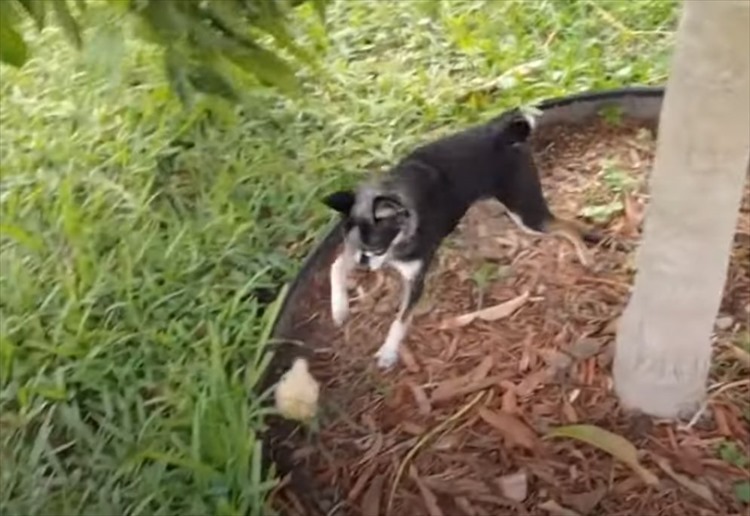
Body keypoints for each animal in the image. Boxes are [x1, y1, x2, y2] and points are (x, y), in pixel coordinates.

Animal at [324, 109, 604, 368]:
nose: (363, 264)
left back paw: (586, 255)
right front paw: (339, 307)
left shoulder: (415, 280)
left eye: (376, 248)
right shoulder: (351, 251)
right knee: (569, 224)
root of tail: (502, 132)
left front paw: (389, 351)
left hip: (526, 213)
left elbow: (400, 320)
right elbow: (335, 266)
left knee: (567, 227)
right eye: (356, 246)